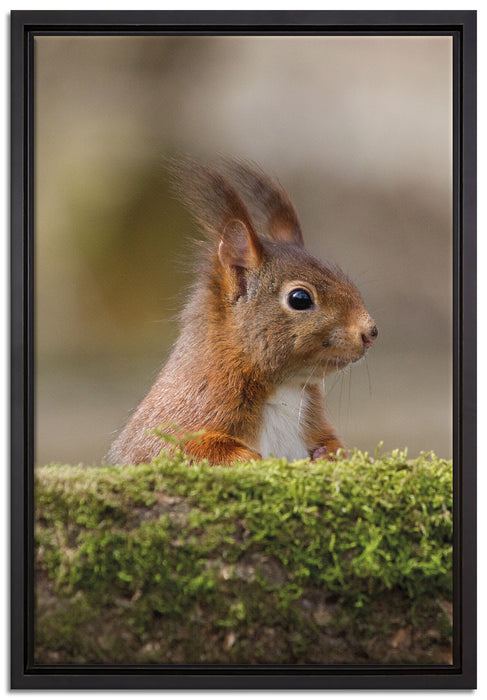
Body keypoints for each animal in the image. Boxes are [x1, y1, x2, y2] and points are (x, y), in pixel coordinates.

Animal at [107, 158, 378, 466]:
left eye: (344, 278)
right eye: (300, 298)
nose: (370, 332)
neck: (285, 389)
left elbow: (332, 443)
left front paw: (328, 455)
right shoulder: (183, 417)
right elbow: (185, 449)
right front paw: (251, 458)